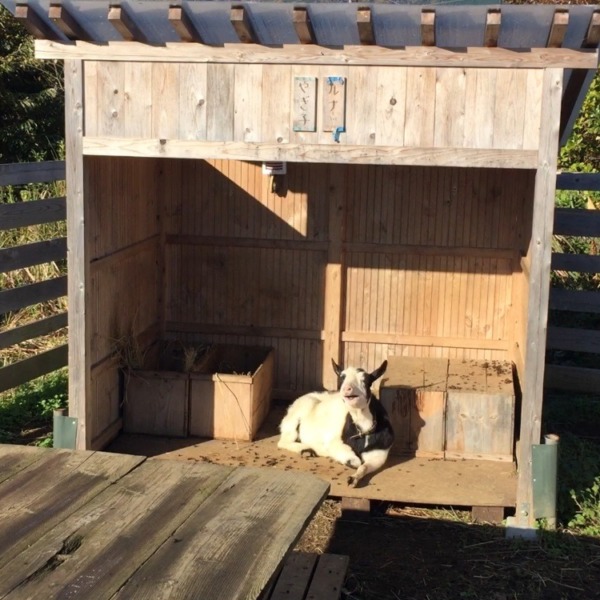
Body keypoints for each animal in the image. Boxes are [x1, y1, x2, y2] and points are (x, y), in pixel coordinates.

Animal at [277, 359, 394, 487]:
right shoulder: (333, 442)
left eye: (366, 380)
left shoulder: (379, 454)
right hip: (298, 414)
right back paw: (307, 450)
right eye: (342, 377)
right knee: (283, 441)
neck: (362, 429)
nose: (347, 389)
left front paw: (353, 479)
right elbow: (354, 461)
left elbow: (364, 467)